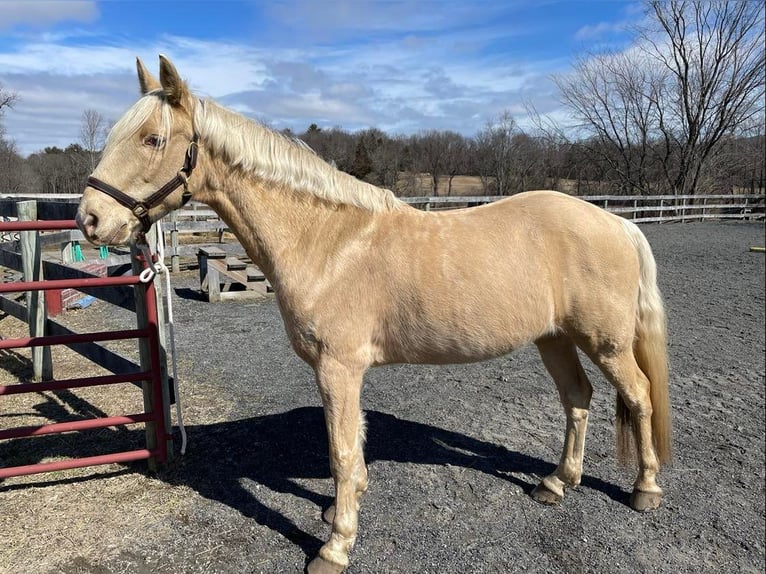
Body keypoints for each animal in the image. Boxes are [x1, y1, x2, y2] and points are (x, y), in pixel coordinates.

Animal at [78, 55, 672, 574]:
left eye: (153, 140)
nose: (90, 219)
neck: (326, 242)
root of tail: (619, 223)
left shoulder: (338, 368)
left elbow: (342, 453)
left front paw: (335, 547)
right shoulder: (344, 372)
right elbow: (352, 449)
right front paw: (338, 511)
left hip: (606, 343)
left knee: (638, 395)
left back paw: (644, 489)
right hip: (554, 338)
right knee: (578, 399)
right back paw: (557, 482)